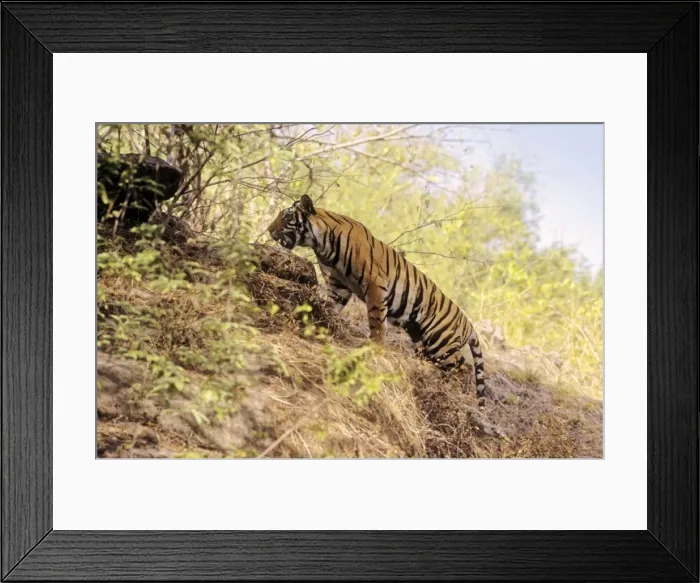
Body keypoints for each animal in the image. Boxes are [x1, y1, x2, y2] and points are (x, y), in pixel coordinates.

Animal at [266, 194, 489, 399]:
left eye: (286, 216)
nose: (269, 229)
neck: (321, 243)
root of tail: (468, 324)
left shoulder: (373, 283)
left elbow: (376, 320)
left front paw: (374, 347)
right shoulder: (338, 286)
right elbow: (330, 305)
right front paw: (321, 318)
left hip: (440, 341)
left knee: (463, 367)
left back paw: (445, 388)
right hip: (422, 339)